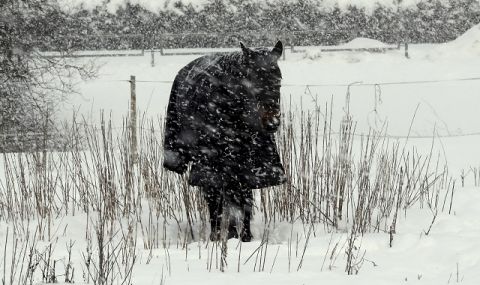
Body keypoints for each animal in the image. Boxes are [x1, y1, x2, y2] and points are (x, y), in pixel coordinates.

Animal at [163, 41, 286, 241]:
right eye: (252, 81)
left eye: (278, 79)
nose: (272, 123)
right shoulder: (213, 164)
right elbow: (218, 201)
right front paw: (222, 235)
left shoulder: (247, 164)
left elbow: (244, 199)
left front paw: (245, 237)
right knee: (215, 198)